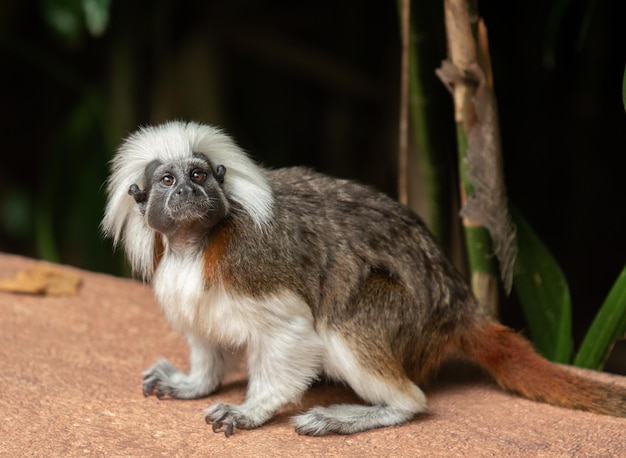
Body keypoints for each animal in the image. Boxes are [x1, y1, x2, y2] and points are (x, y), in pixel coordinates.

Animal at [101, 120, 624, 434]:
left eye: (200, 175)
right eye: (167, 181)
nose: (189, 193)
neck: (196, 246)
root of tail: (457, 302)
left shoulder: (252, 263)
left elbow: (295, 331)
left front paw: (251, 409)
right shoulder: (177, 282)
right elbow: (205, 340)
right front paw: (194, 383)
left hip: (406, 316)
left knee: (348, 329)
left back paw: (365, 412)